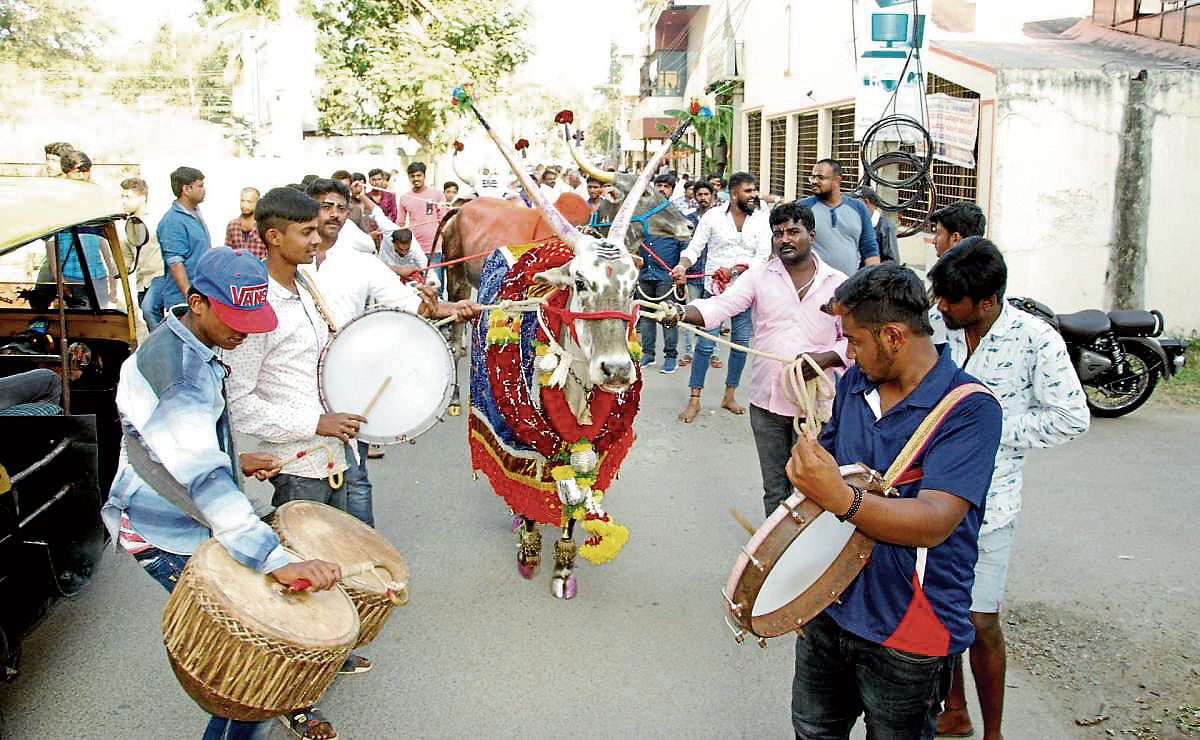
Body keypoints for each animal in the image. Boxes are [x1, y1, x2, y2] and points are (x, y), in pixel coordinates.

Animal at [458, 93, 691, 599]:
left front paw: (564, 564)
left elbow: (574, 494)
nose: (617, 371)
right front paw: (529, 548)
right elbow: (534, 489)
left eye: (632, 287)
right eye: (581, 282)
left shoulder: (588, 445)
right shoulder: (524, 442)